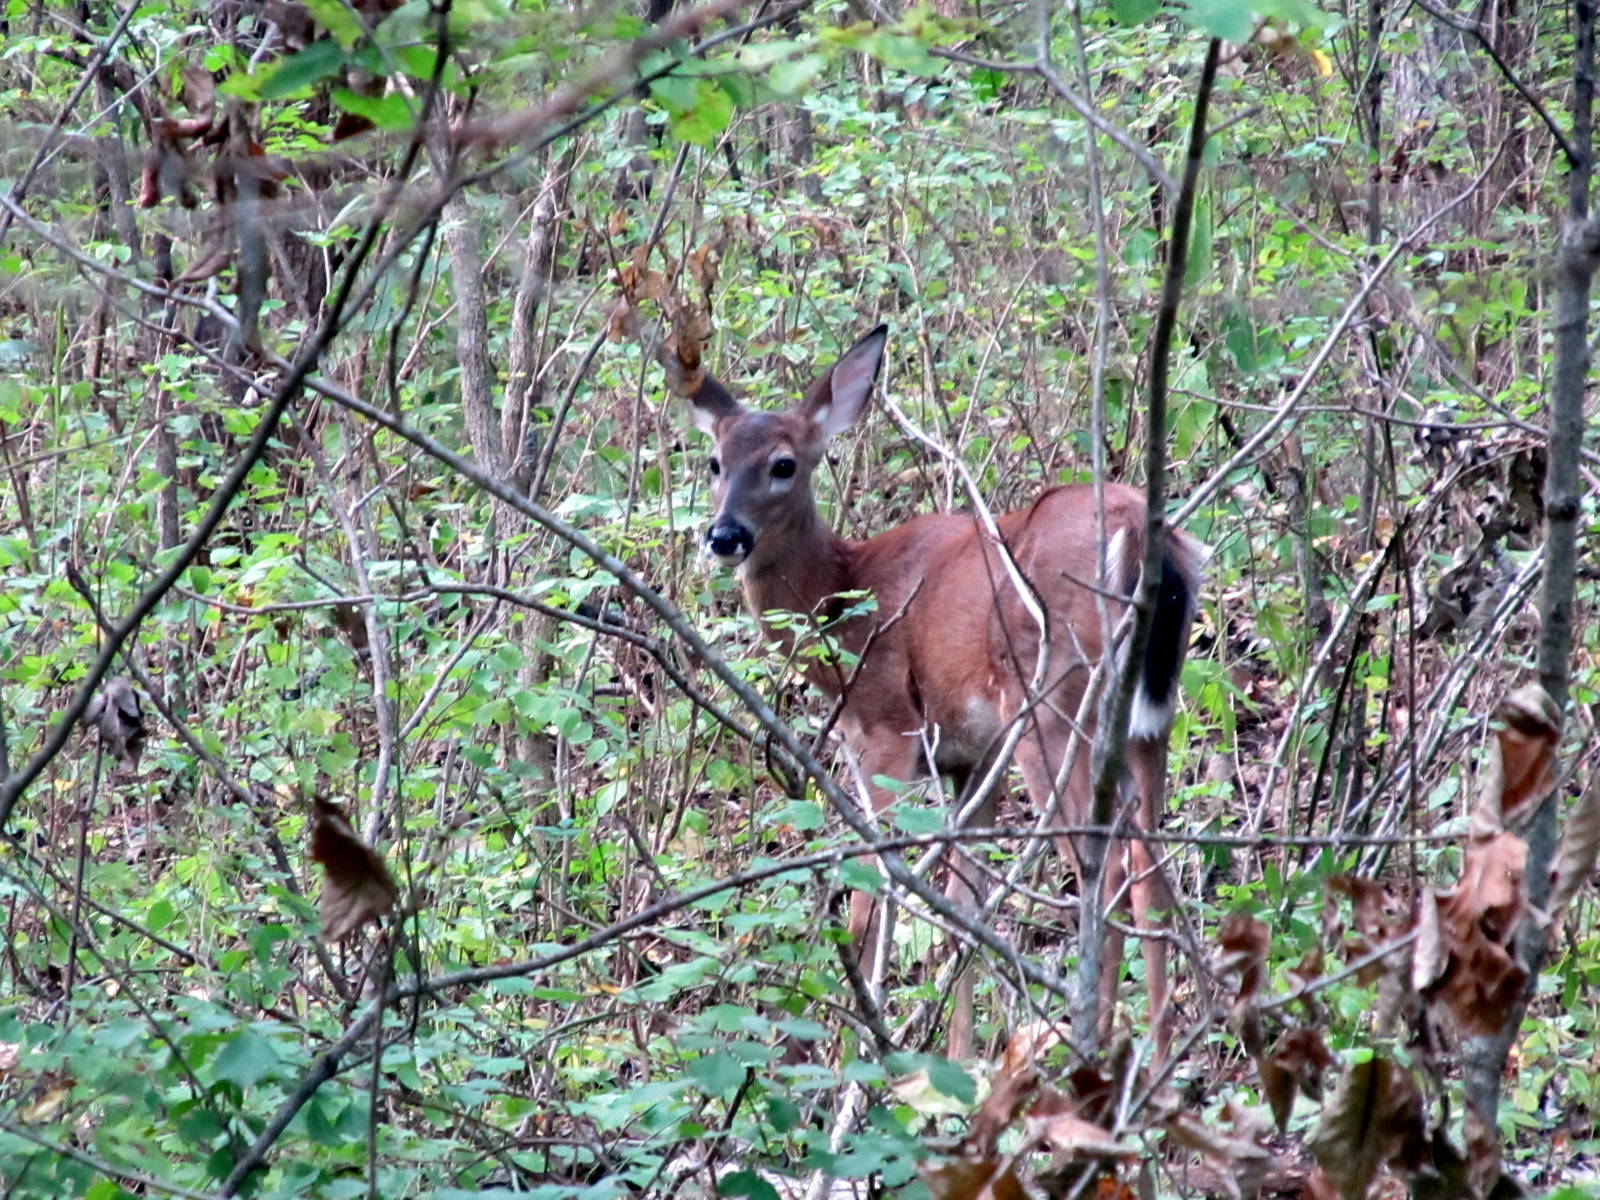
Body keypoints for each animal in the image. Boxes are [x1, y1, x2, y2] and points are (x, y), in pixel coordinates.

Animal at [675, 324, 1204, 1058]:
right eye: (714, 462)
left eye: (784, 464)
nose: (725, 535)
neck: (846, 595)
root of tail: (1139, 533)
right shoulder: (969, 759)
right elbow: (965, 906)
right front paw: (956, 1061)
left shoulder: (886, 732)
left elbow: (872, 901)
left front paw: (859, 1059)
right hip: (1152, 714)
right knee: (1152, 868)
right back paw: (1155, 1055)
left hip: (1055, 706)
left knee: (1109, 871)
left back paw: (1090, 1047)